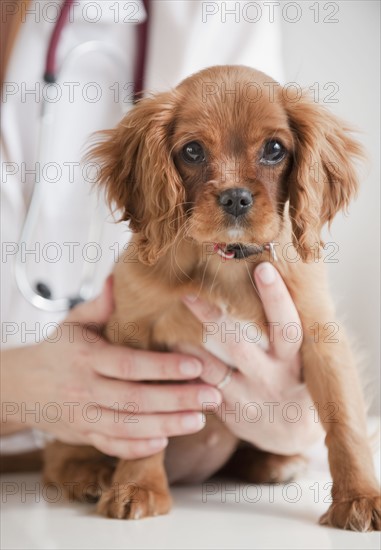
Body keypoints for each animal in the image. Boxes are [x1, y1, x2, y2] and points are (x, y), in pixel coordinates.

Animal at [44, 67, 380, 532]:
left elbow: (346, 422)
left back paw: (274, 462)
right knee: (55, 454)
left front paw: (360, 498)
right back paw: (88, 473)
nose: (235, 197)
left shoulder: (321, 336)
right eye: (193, 150)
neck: (226, 263)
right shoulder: (136, 337)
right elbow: (143, 429)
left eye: (275, 149)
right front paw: (138, 488)